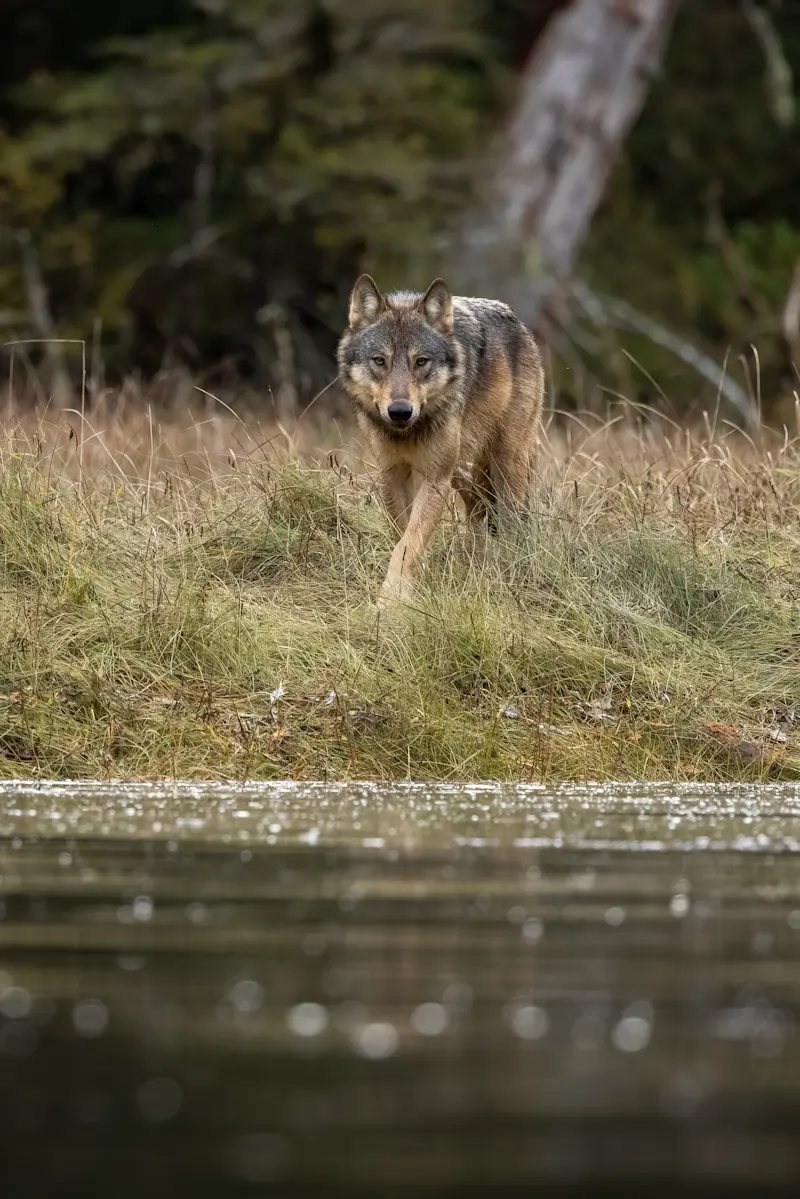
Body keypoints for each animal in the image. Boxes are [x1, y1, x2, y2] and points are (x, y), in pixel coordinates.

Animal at [337, 274, 545, 602]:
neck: (407, 433)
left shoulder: (435, 478)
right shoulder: (392, 475)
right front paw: (409, 588)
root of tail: (519, 324)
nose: (400, 412)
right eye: (380, 361)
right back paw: (474, 560)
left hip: (506, 462)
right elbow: (404, 536)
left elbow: (407, 545)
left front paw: (389, 602)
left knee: (510, 517)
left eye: (421, 361)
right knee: (477, 507)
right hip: (462, 469)